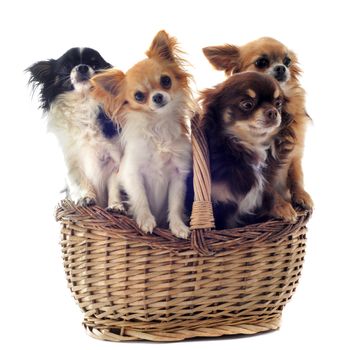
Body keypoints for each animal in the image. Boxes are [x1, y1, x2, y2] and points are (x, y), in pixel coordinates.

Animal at [27, 46, 121, 205]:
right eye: (67, 66)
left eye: (95, 65)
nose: (82, 67)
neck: (82, 101)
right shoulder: (73, 161)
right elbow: (80, 181)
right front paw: (86, 198)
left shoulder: (115, 159)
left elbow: (116, 187)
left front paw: (116, 206)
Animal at [91, 30, 193, 238]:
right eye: (138, 96)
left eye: (166, 80)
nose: (158, 96)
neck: (159, 125)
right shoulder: (132, 174)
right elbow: (141, 199)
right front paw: (146, 221)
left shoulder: (178, 176)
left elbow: (175, 204)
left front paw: (178, 227)